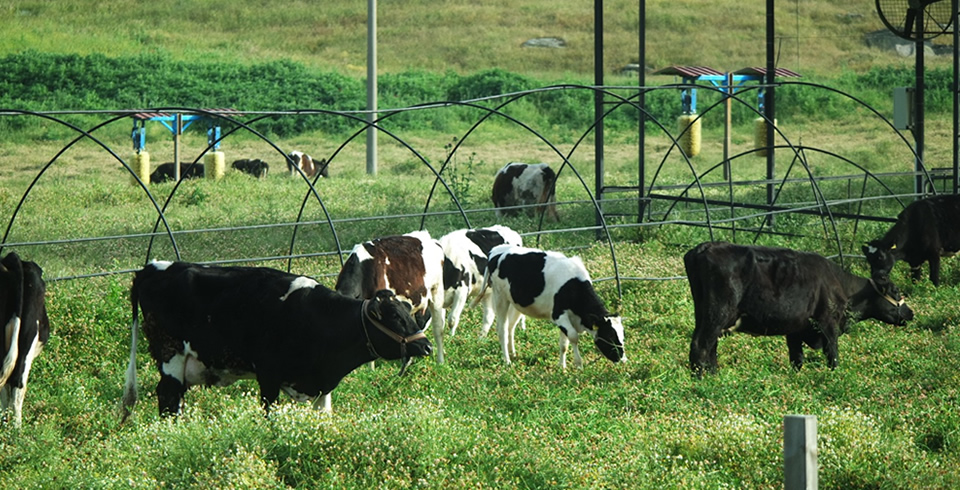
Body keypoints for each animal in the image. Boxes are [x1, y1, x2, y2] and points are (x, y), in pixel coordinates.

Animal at [121, 260, 432, 418]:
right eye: (394, 317)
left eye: (409, 312)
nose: (425, 344)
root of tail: (152, 268)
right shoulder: (268, 377)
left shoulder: (322, 388)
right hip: (171, 356)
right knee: (168, 398)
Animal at [476, 244, 628, 368]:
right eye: (610, 336)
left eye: (622, 336)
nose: (623, 359)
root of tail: (496, 250)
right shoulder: (559, 315)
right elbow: (573, 336)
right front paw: (579, 364)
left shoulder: (567, 318)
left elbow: (564, 344)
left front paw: (562, 367)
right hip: (500, 297)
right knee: (502, 328)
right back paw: (507, 360)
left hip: (515, 302)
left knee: (510, 327)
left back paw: (512, 353)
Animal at [684, 241, 916, 376]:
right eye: (895, 290)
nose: (910, 312)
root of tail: (705, 247)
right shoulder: (828, 323)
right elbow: (832, 354)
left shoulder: (794, 329)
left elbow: (797, 359)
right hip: (718, 313)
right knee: (701, 344)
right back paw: (703, 379)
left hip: (704, 314)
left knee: (709, 346)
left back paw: (713, 375)